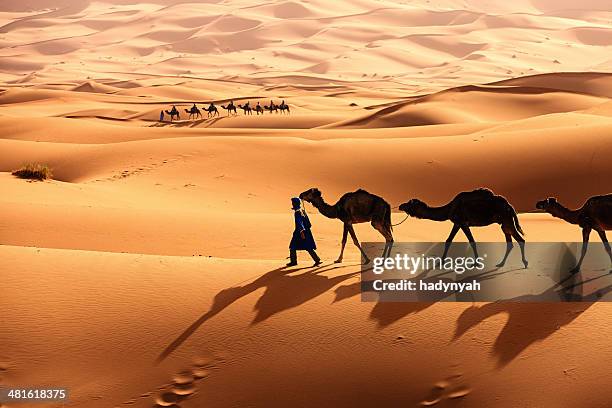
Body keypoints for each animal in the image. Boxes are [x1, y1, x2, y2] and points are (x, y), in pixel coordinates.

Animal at [400, 190, 528, 270]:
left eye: (410, 203)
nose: (401, 206)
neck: (450, 208)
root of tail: (510, 206)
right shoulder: (457, 223)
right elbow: (448, 240)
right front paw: (441, 261)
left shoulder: (462, 222)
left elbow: (472, 241)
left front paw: (476, 262)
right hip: (504, 223)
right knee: (510, 242)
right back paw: (501, 264)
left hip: (507, 220)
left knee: (520, 240)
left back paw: (525, 263)